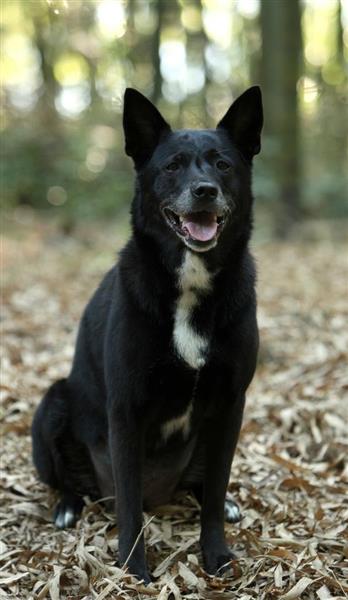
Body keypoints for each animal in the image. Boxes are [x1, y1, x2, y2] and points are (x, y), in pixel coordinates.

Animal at [32, 86, 260, 584]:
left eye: (223, 165)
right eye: (172, 166)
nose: (205, 191)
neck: (189, 284)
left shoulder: (231, 403)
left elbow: (214, 493)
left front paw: (215, 553)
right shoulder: (126, 408)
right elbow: (130, 506)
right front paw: (134, 567)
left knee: (206, 486)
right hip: (51, 406)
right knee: (70, 483)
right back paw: (67, 507)